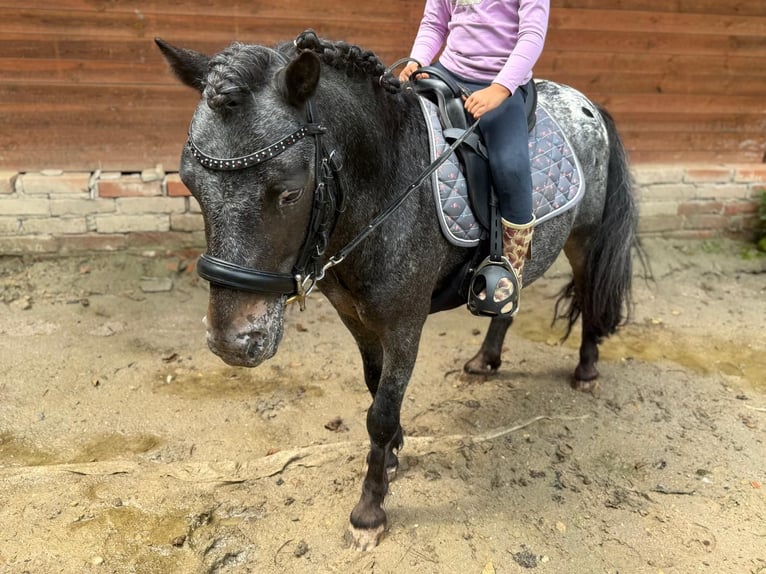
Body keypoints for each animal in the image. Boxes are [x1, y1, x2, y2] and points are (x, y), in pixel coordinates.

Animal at [156, 29, 639, 550]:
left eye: (290, 191)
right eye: (190, 184)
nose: (231, 342)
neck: (390, 182)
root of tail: (584, 103)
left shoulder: (406, 324)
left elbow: (382, 411)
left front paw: (369, 512)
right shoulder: (356, 317)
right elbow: (375, 389)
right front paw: (390, 456)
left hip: (585, 238)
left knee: (589, 297)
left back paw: (586, 370)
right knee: (510, 297)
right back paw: (485, 361)